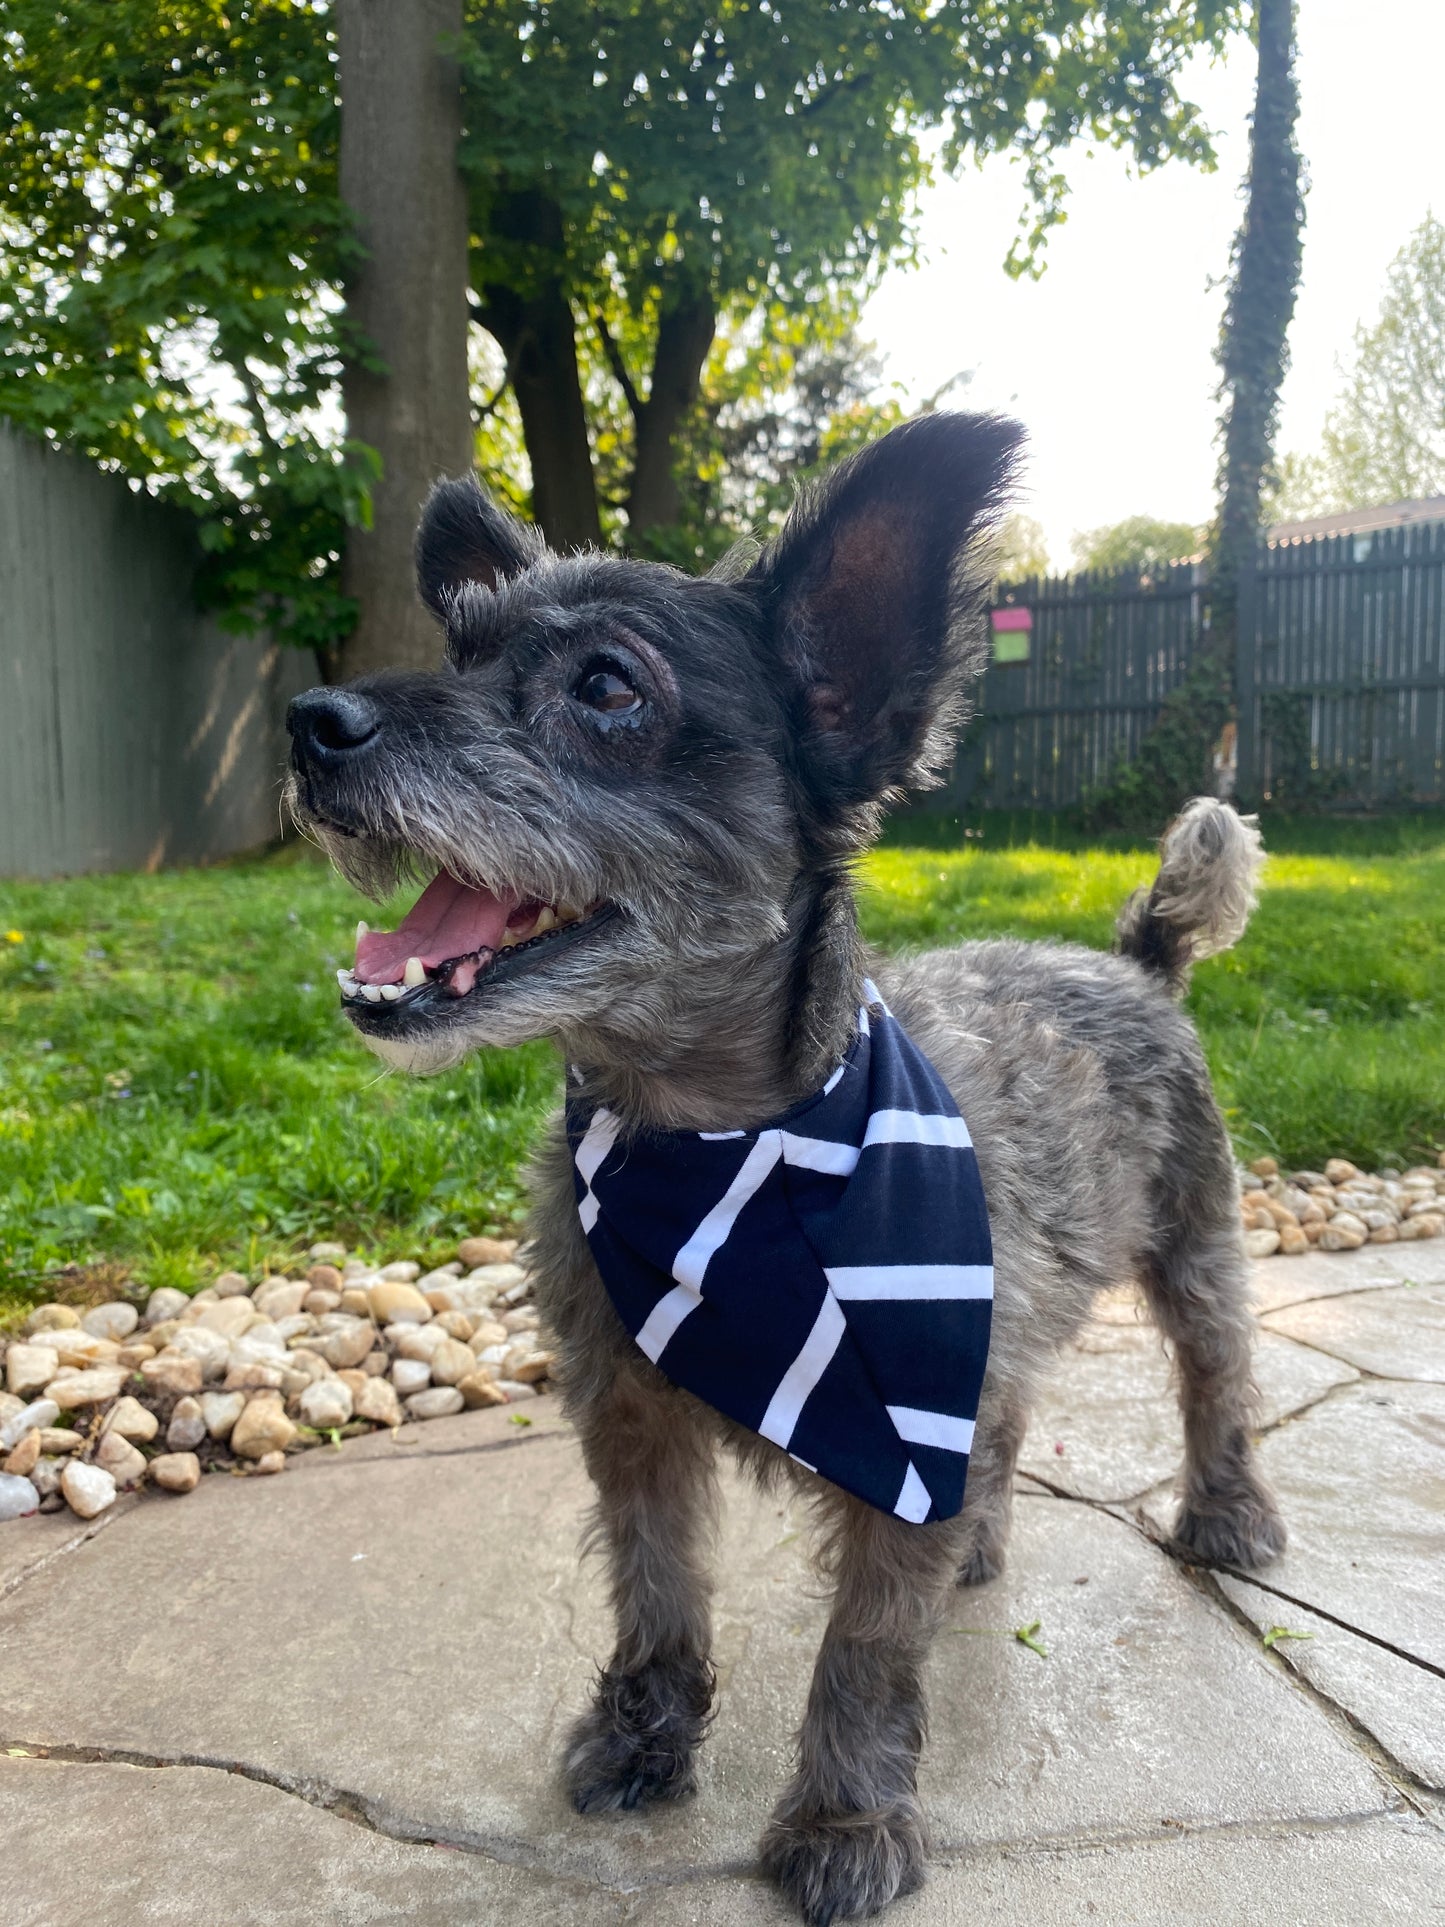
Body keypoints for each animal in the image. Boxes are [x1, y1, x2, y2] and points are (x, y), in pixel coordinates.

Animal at [289, 414, 1287, 1919]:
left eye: (606, 684)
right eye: (458, 646)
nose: (312, 723)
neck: (710, 1147)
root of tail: (1137, 957)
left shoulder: (902, 1413)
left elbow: (866, 1646)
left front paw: (842, 1816)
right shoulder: (629, 1414)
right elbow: (655, 1585)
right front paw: (644, 1735)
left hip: (1194, 1251)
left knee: (1215, 1378)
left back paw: (1226, 1513)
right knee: (1000, 1437)